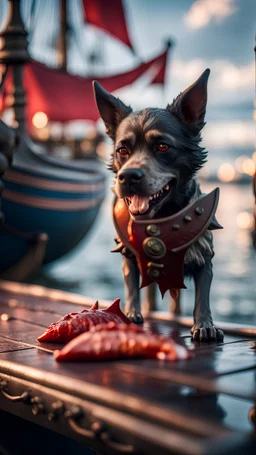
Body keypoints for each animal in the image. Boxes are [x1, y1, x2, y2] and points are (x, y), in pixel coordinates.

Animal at [92, 70, 224, 342]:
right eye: (123, 150)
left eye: (163, 146)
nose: (128, 177)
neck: (160, 218)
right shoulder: (129, 254)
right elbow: (131, 285)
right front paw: (131, 312)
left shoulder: (204, 256)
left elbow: (202, 295)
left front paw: (204, 324)